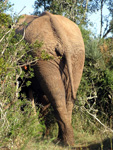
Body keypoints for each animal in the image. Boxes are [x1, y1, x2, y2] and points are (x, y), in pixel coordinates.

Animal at [15, 11, 85, 146]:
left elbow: (25, 91)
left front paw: (36, 131)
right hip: (75, 54)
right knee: (66, 97)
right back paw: (65, 141)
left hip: (44, 53)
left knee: (56, 95)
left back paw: (63, 142)